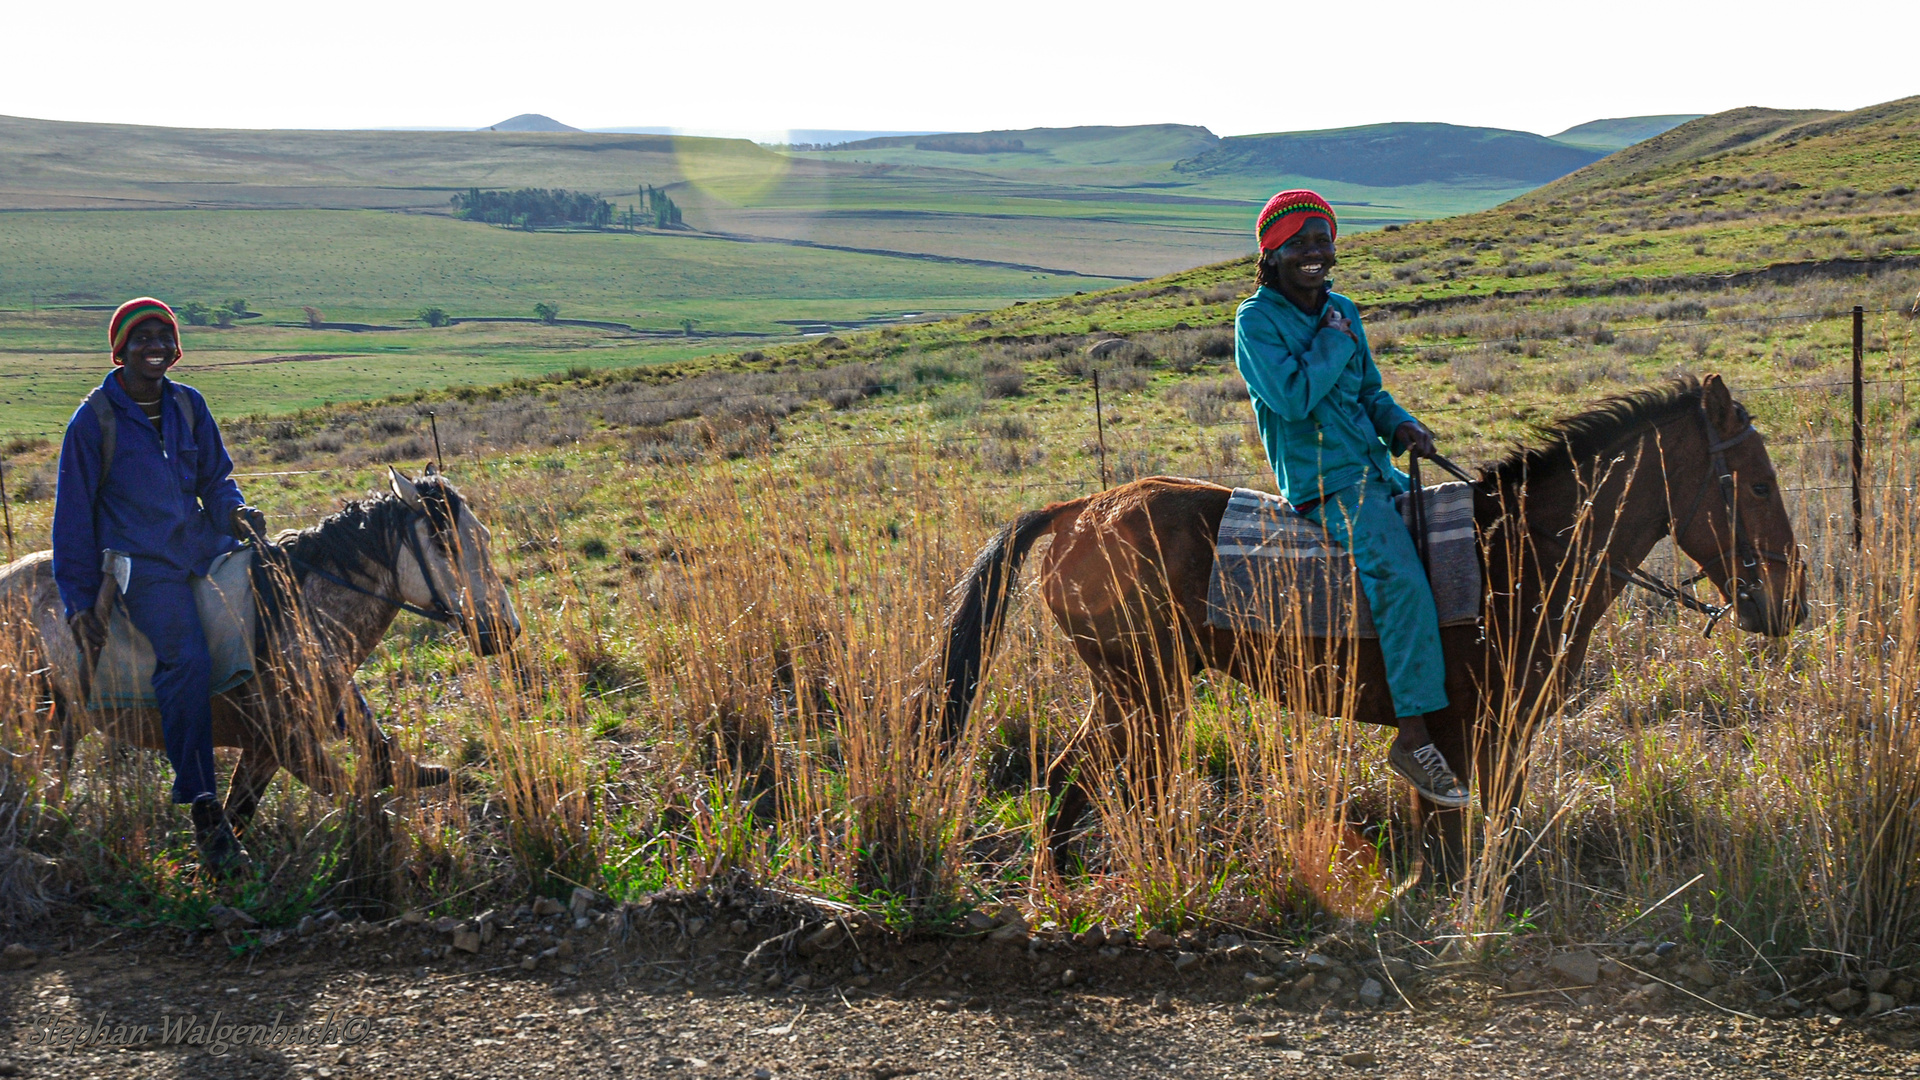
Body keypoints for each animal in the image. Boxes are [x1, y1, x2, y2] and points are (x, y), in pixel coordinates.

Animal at [0, 466, 522, 826]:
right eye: (447, 543)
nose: (505, 628)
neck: (297, 612)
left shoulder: (265, 752)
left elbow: (242, 812)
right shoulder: (289, 747)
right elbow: (361, 805)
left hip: (63, 727)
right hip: (43, 726)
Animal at [936, 374, 1804, 868]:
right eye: (1759, 484)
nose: (1789, 602)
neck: (1519, 552)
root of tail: (1078, 510)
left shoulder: (1499, 734)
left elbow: (1482, 826)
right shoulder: (1466, 732)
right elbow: (1453, 833)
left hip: (1129, 693)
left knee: (1081, 777)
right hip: (1144, 690)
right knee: (1094, 778)